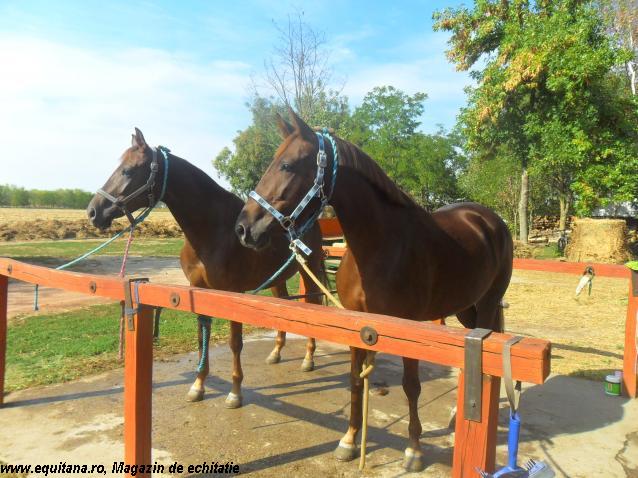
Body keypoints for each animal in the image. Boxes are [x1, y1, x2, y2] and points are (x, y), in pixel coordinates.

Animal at [86, 129, 324, 408]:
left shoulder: (234, 293)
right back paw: (276, 353)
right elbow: (202, 339)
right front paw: (198, 386)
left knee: (313, 305)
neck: (214, 230)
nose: (93, 211)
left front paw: (235, 392)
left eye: (128, 170)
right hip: (278, 279)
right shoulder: (197, 289)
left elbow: (235, 343)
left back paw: (308, 358)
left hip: (309, 271)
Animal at [236, 111, 516, 470]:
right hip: (467, 307)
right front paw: (350, 440)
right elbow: (356, 380)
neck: (380, 245)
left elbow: (411, 386)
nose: (244, 228)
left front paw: (414, 450)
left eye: (287, 165)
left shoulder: (408, 329)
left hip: (487, 304)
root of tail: (490, 219)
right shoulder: (356, 323)